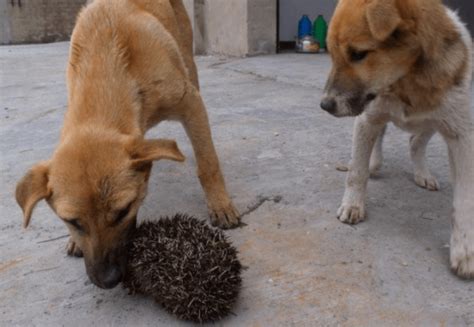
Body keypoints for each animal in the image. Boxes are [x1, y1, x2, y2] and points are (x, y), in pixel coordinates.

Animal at [16, 0, 239, 288]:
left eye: (124, 211)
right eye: (72, 221)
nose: (108, 280)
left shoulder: (190, 103)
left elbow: (208, 162)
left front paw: (220, 204)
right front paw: (74, 242)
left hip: (188, 61)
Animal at [320, 0, 472, 280]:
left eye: (358, 54)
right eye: (332, 54)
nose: (325, 105)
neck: (408, 80)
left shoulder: (461, 135)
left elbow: (465, 200)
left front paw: (464, 251)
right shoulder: (367, 117)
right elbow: (356, 173)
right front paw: (353, 205)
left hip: (433, 122)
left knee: (415, 142)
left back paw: (422, 173)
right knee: (379, 140)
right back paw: (374, 162)